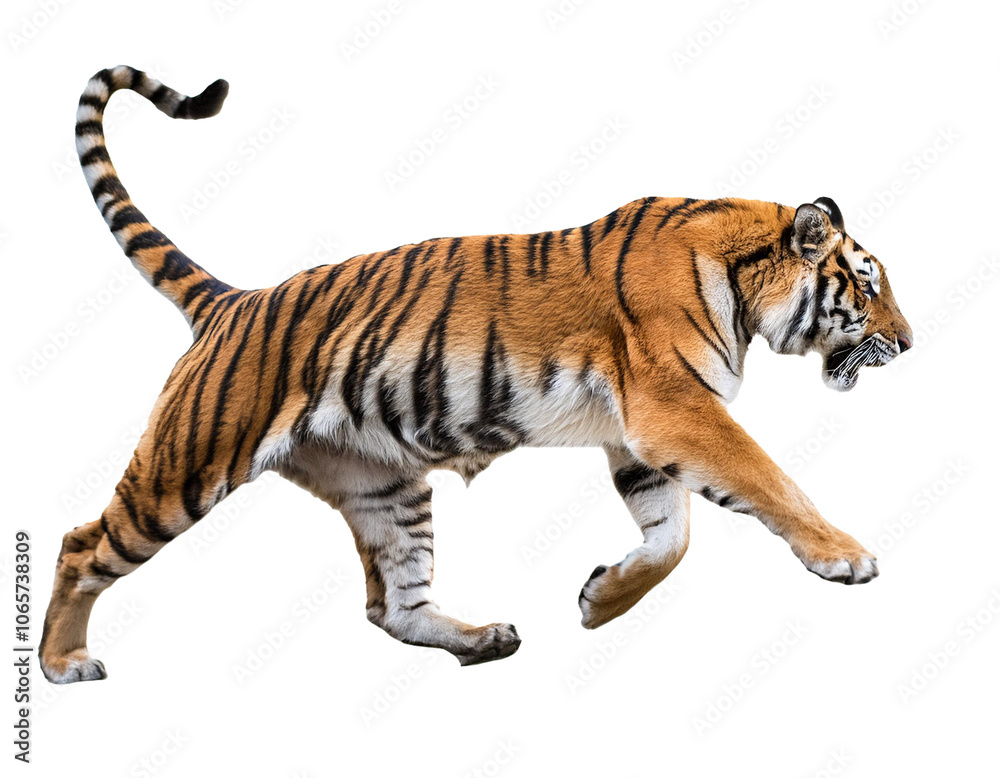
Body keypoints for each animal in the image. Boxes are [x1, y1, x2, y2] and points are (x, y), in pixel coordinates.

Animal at [40, 66, 913, 684]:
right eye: (868, 286)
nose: (908, 343)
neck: (742, 272)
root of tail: (235, 300)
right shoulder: (676, 409)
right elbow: (769, 481)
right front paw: (846, 556)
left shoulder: (640, 435)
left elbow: (673, 536)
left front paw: (600, 602)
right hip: (188, 466)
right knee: (81, 545)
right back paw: (62, 663)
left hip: (383, 485)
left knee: (390, 605)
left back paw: (482, 639)